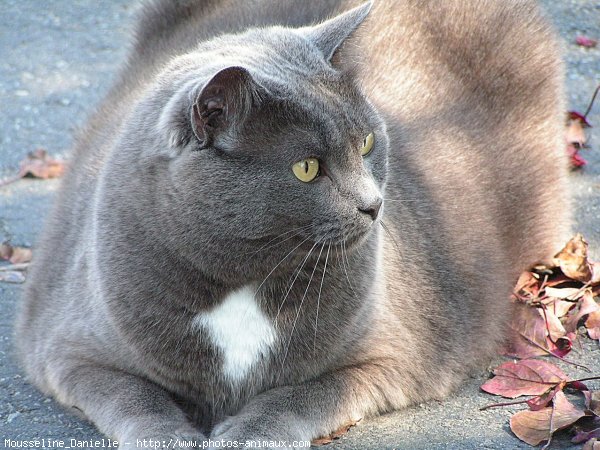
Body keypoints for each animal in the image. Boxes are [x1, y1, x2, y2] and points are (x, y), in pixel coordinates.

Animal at [16, 0, 572, 448]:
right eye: (306, 168)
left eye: (366, 143)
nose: (374, 205)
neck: (243, 282)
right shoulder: (69, 348)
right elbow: (133, 395)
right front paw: (171, 436)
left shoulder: (392, 355)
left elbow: (304, 393)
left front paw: (247, 434)